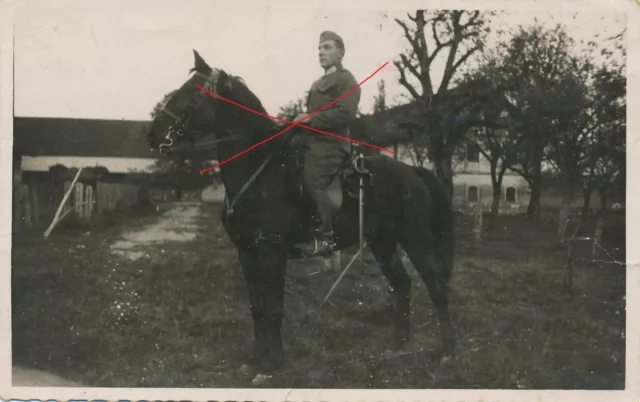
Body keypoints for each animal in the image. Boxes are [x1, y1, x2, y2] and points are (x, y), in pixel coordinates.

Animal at [145, 51, 456, 384]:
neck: (260, 171)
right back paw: (399, 344)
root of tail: (413, 171)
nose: (151, 134)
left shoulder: (272, 252)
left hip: (415, 238)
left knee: (436, 286)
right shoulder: (247, 253)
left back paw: (447, 352)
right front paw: (256, 358)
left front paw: (272, 364)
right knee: (402, 283)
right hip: (381, 242)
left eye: (191, 92)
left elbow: (274, 309)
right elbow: (257, 306)